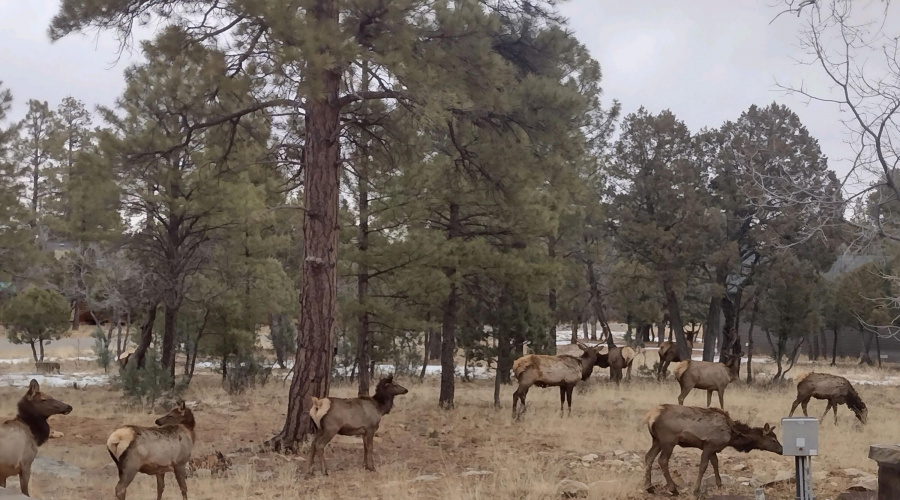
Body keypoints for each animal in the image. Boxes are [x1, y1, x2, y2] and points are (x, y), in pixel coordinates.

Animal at [648, 406, 780, 496]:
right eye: (773, 439)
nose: (781, 449)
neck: (732, 436)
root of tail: (650, 418)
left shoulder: (713, 448)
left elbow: (715, 463)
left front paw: (719, 485)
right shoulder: (709, 446)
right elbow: (703, 466)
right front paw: (696, 490)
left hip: (657, 440)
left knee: (649, 457)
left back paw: (649, 487)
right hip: (669, 441)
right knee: (662, 460)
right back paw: (673, 489)